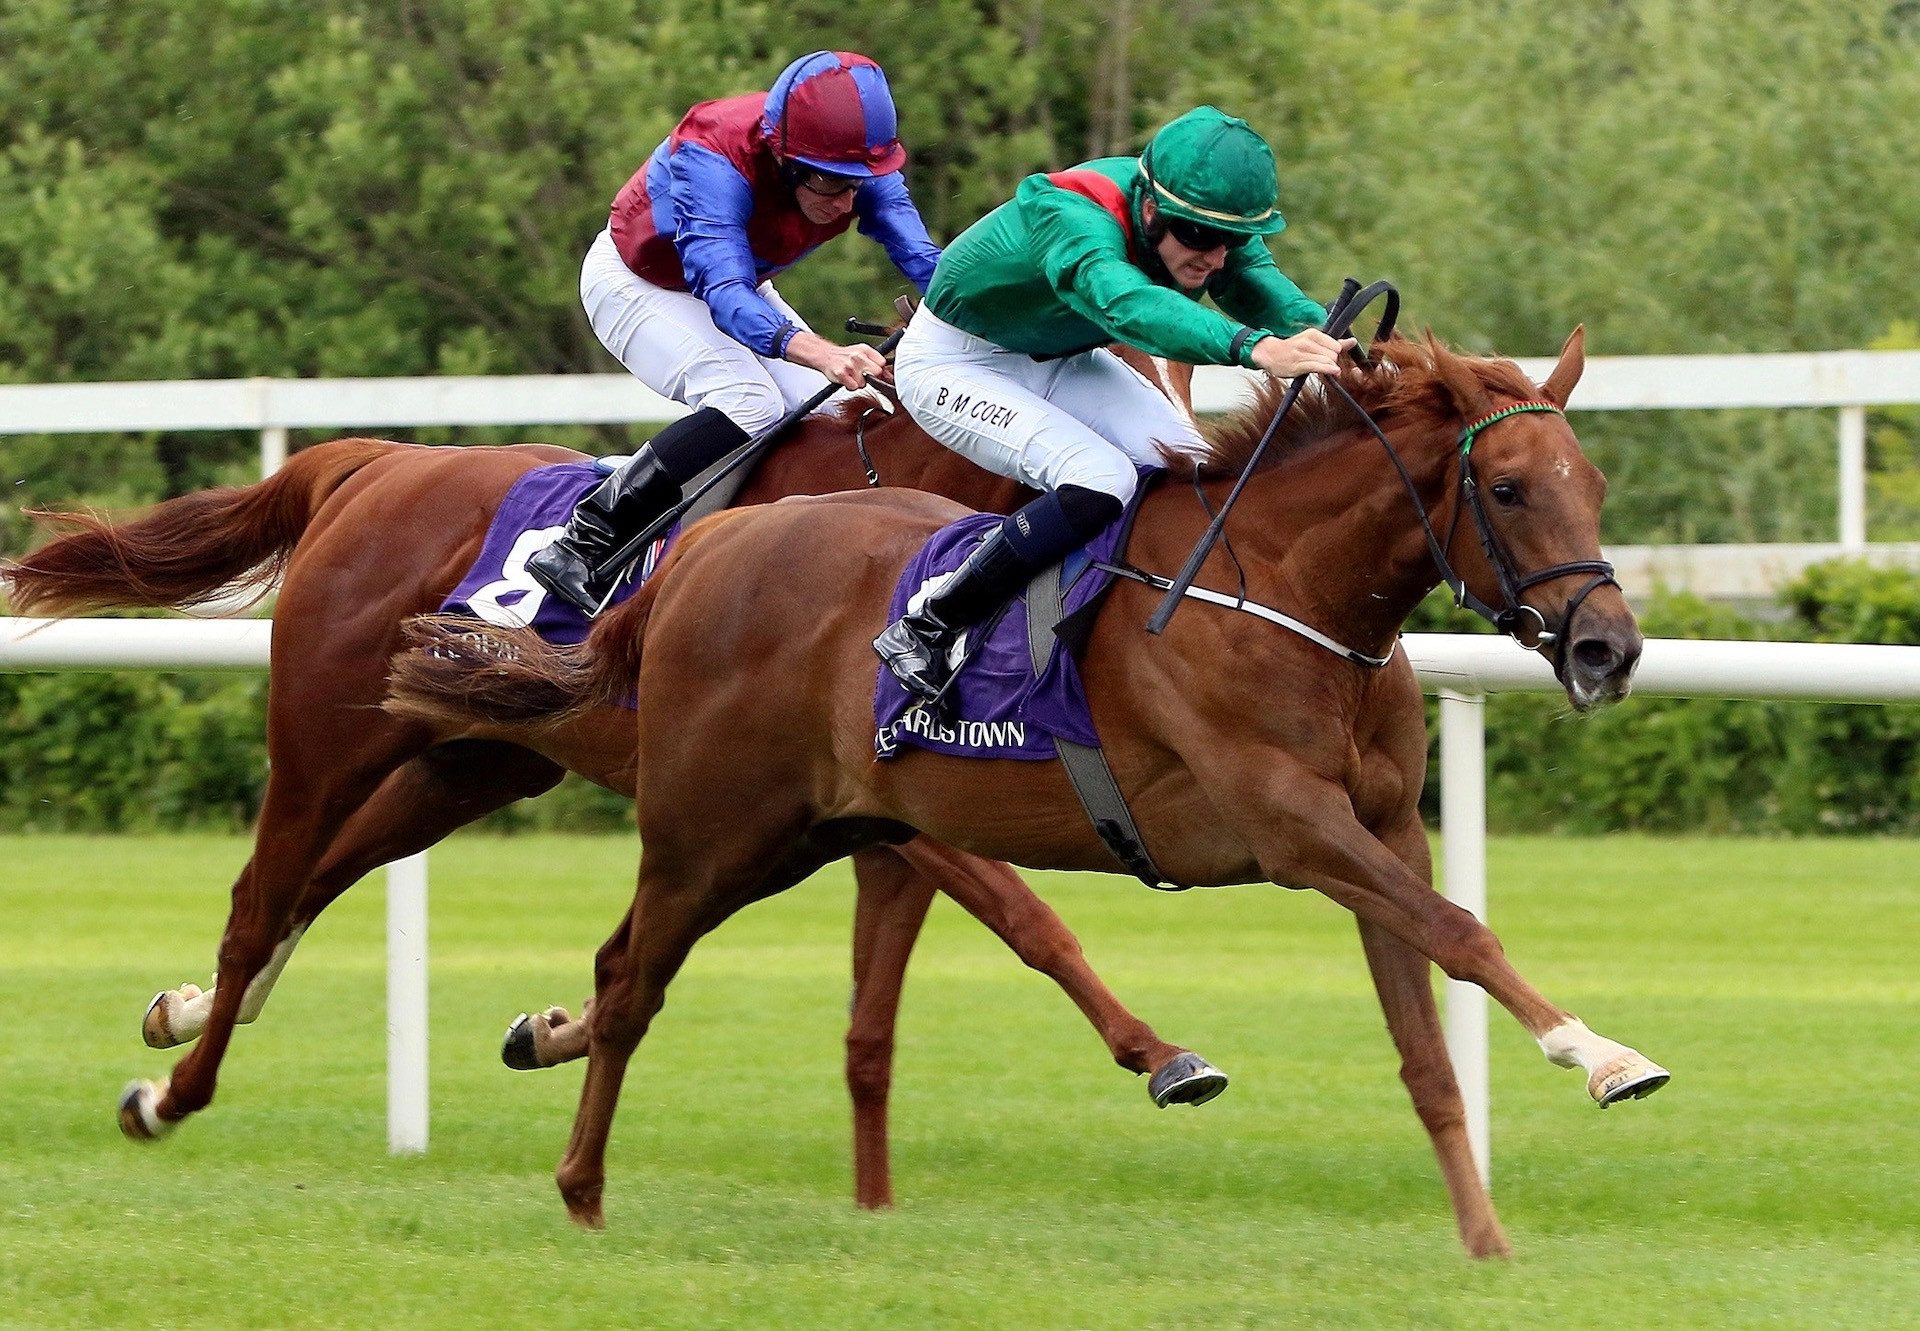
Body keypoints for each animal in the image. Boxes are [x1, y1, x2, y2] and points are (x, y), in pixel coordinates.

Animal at [385, 326, 1666, 1252]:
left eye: (1595, 481)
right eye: (1510, 488)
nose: (1609, 648)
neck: (1284, 588)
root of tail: (700, 550)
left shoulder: (1389, 828)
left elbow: (1429, 1037)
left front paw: (1486, 1239)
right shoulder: (1292, 824)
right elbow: (1464, 933)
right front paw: (1605, 1054)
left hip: (806, 832)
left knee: (618, 967)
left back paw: (550, 1060)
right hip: (712, 831)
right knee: (633, 980)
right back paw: (581, 1184)